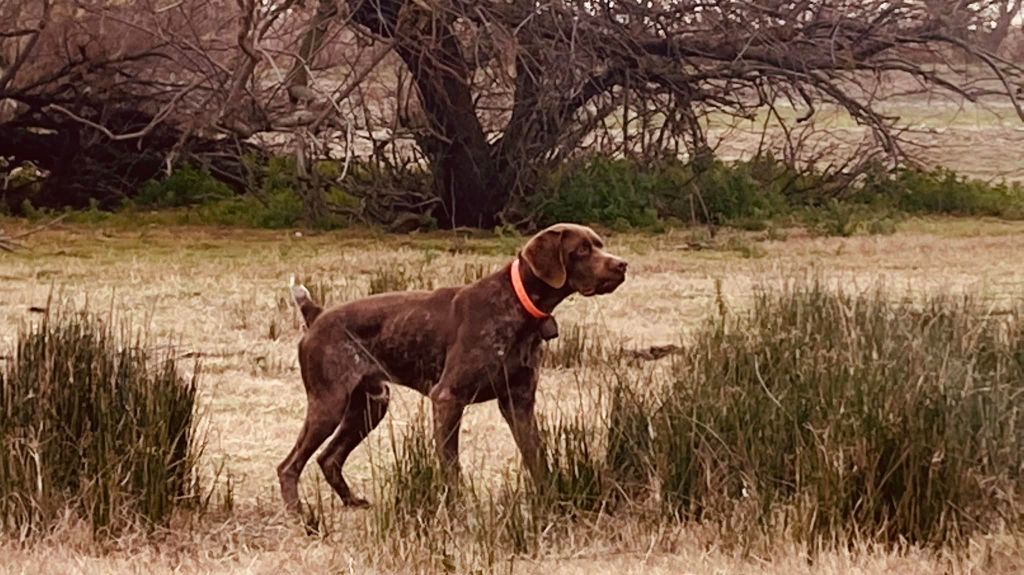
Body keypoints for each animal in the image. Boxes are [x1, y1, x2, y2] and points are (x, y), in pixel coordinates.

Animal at [282, 222, 630, 507]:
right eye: (582, 249)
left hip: (370, 405)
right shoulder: (448, 398)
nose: (622, 265)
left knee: (328, 458)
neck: (520, 308)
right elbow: (451, 468)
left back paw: (350, 500)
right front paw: (457, 512)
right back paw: (301, 515)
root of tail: (316, 313)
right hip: (329, 404)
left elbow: (537, 459)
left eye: (599, 244)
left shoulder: (519, 403)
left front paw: (551, 501)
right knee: (288, 466)